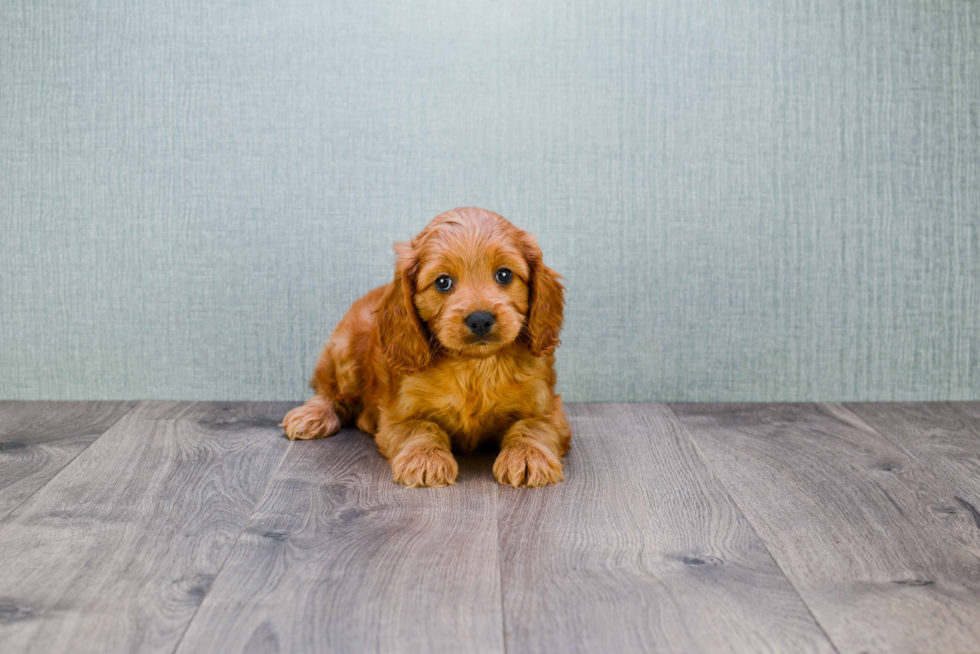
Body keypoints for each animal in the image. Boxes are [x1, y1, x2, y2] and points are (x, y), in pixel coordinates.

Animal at [280, 208, 572, 490]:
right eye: (443, 282)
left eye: (504, 274)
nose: (480, 319)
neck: (474, 366)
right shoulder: (399, 414)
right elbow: (423, 427)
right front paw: (425, 459)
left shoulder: (547, 409)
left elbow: (531, 426)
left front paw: (527, 457)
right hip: (346, 355)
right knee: (330, 392)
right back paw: (311, 416)